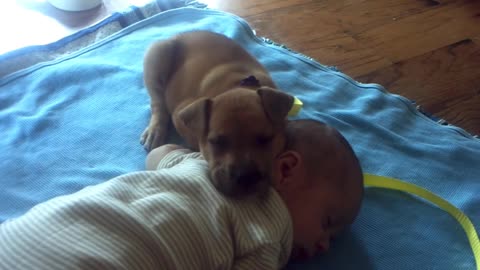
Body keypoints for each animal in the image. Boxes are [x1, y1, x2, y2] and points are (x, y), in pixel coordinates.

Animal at [141, 31, 294, 198]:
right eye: (216, 142)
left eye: (266, 139)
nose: (246, 177)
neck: (236, 87)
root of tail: (179, 35)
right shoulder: (179, 114)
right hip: (157, 57)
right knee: (157, 102)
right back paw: (155, 130)